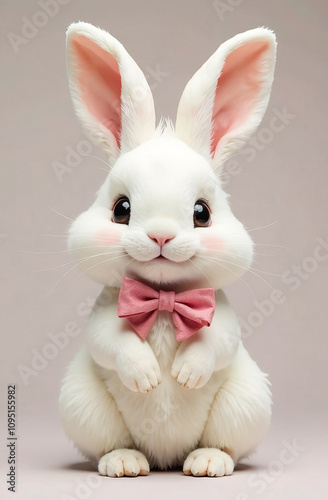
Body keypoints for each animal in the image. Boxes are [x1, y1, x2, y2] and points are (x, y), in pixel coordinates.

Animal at [59, 22, 276, 476]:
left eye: (202, 213)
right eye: (121, 209)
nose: (160, 236)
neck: (163, 299)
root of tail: (166, 458)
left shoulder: (222, 314)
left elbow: (218, 342)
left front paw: (186, 374)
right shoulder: (104, 313)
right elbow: (110, 341)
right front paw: (146, 378)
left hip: (246, 403)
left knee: (227, 445)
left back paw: (207, 463)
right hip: (82, 404)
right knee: (108, 445)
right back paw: (124, 463)